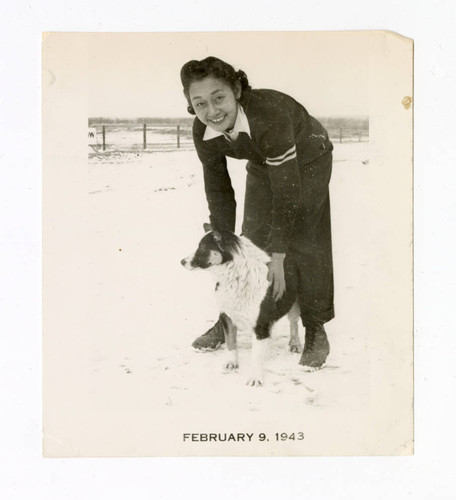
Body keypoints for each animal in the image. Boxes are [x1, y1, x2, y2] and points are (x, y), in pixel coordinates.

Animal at [180, 224, 302, 386]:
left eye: (202, 248)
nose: (181, 261)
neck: (235, 275)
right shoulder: (226, 316)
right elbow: (231, 343)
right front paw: (232, 363)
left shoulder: (260, 323)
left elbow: (256, 355)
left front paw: (255, 377)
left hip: (296, 301)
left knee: (293, 322)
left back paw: (295, 343)